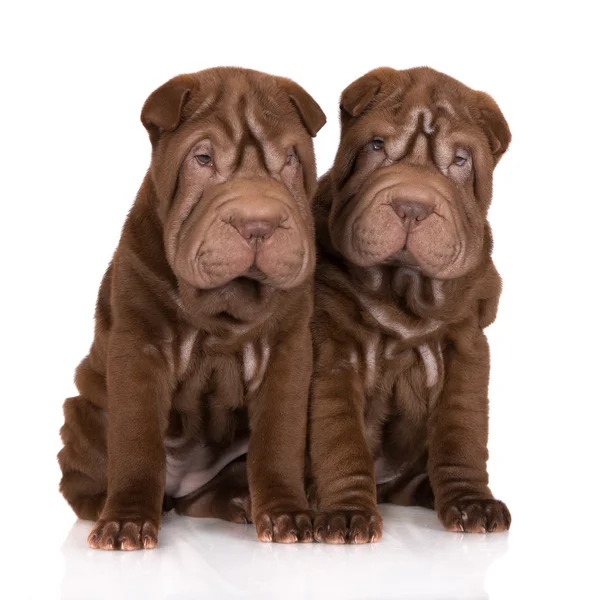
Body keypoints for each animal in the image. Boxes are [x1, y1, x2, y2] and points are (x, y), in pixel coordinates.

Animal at [58, 67, 326, 548]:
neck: (224, 308)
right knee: (83, 478)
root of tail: (178, 488)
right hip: (81, 414)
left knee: (204, 497)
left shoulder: (287, 351)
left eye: (290, 159)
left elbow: (279, 439)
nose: (257, 223)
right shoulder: (140, 345)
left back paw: (239, 503)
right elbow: (136, 440)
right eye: (202, 159)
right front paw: (125, 521)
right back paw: (100, 505)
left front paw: (286, 514)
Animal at [310, 67, 510, 544]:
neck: (402, 292)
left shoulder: (465, 348)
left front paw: (471, 502)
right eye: (377, 146)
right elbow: (339, 436)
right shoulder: (334, 351)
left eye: (461, 160)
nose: (412, 206)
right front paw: (348, 513)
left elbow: (462, 432)